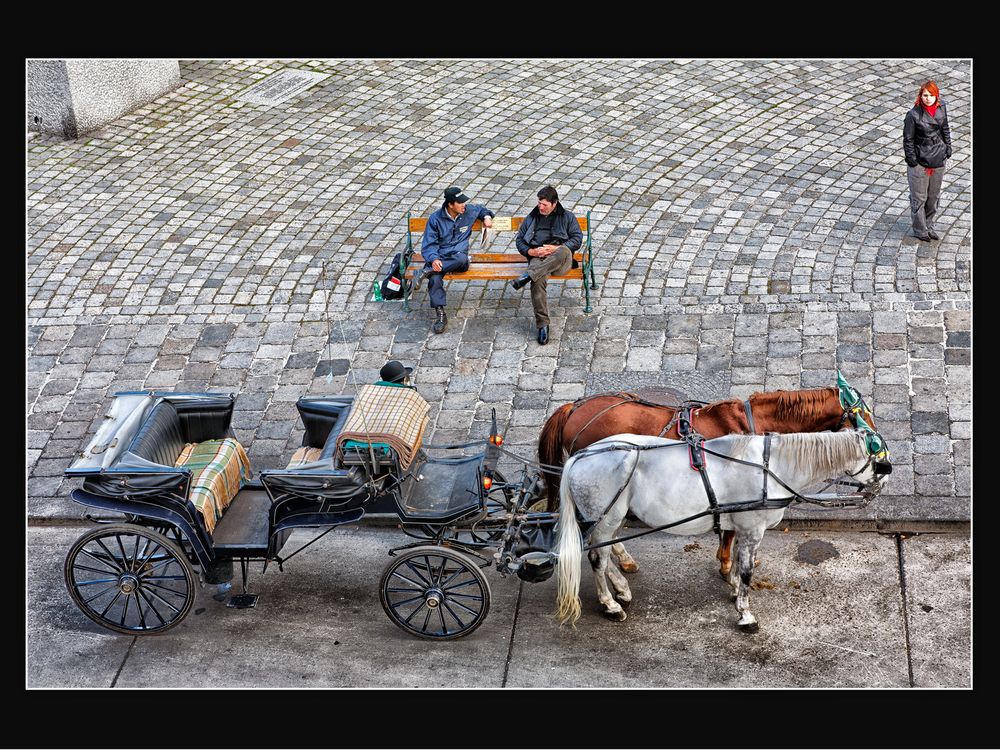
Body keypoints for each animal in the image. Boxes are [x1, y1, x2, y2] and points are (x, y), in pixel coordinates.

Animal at [536, 388, 872, 576]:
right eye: (861, 414)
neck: (752, 423)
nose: (876, 442)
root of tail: (573, 408)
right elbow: (728, 536)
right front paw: (726, 566)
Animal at [556, 428, 892, 636]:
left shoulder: (742, 528)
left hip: (611, 518)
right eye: (880, 460)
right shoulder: (752, 528)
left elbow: (738, 563)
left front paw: (732, 588)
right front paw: (745, 613)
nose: (884, 483)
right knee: (597, 558)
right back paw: (610, 604)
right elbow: (747, 571)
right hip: (606, 516)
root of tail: (580, 456)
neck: (771, 466)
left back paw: (622, 588)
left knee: (606, 550)